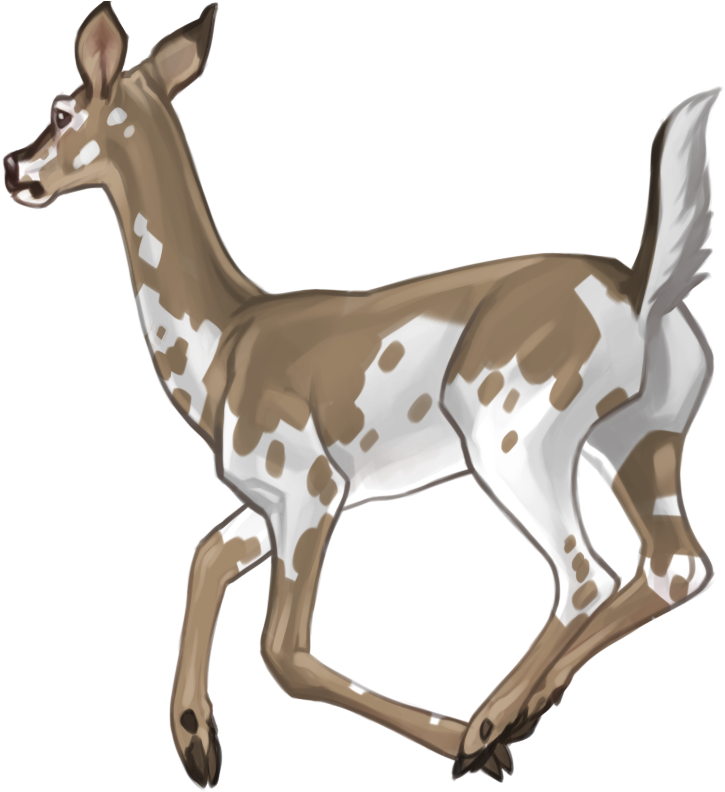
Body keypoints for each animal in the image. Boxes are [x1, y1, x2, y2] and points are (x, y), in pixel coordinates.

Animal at [3, 2, 718, 788]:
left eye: (61, 109)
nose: (13, 169)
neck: (222, 344)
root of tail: (640, 293)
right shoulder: (276, 494)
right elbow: (206, 556)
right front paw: (194, 740)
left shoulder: (308, 484)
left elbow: (283, 651)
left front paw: (468, 744)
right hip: (639, 436)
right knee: (676, 565)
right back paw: (527, 706)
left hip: (510, 431)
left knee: (585, 575)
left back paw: (487, 726)